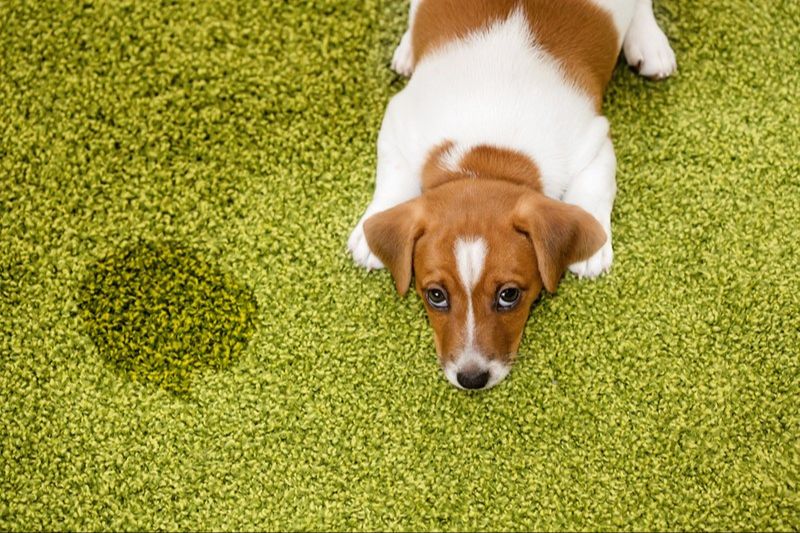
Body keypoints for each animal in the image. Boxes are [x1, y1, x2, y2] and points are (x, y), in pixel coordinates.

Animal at [348, 0, 676, 390]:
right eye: (436, 296)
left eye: (509, 295)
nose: (471, 378)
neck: (486, 155)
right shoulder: (399, 121)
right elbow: (393, 177)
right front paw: (370, 234)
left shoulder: (594, 141)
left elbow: (594, 189)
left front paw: (592, 245)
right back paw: (406, 50)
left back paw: (649, 42)